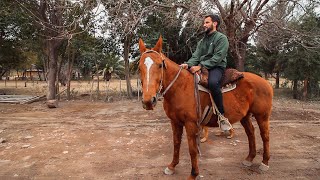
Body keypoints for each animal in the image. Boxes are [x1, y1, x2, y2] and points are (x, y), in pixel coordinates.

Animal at [138, 36, 272, 179]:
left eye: (160, 65)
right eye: (139, 67)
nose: (148, 101)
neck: (180, 87)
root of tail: (266, 82)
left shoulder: (191, 124)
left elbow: (192, 149)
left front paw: (193, 174)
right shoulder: (175, 122)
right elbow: (176, 144)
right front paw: (172, 166)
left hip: (262, 116)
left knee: (265, 136)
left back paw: (264, 163)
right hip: (245, 116)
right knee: (250, 133)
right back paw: (249, 159)